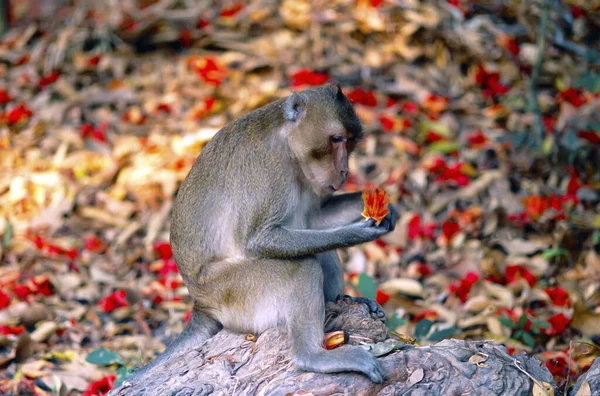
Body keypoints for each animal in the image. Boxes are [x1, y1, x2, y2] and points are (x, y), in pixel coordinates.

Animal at [129, 84, 396, 386]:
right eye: (336, 139)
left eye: (350, 143)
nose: (344, 170)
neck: (288, 144)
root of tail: (201, 304)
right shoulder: (267, 170)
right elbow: (258, 240)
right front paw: (358, 232)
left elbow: (314, 221)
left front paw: (387, 211)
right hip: (235, 293)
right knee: (302, 265)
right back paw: (313, 356)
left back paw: (343, 302)